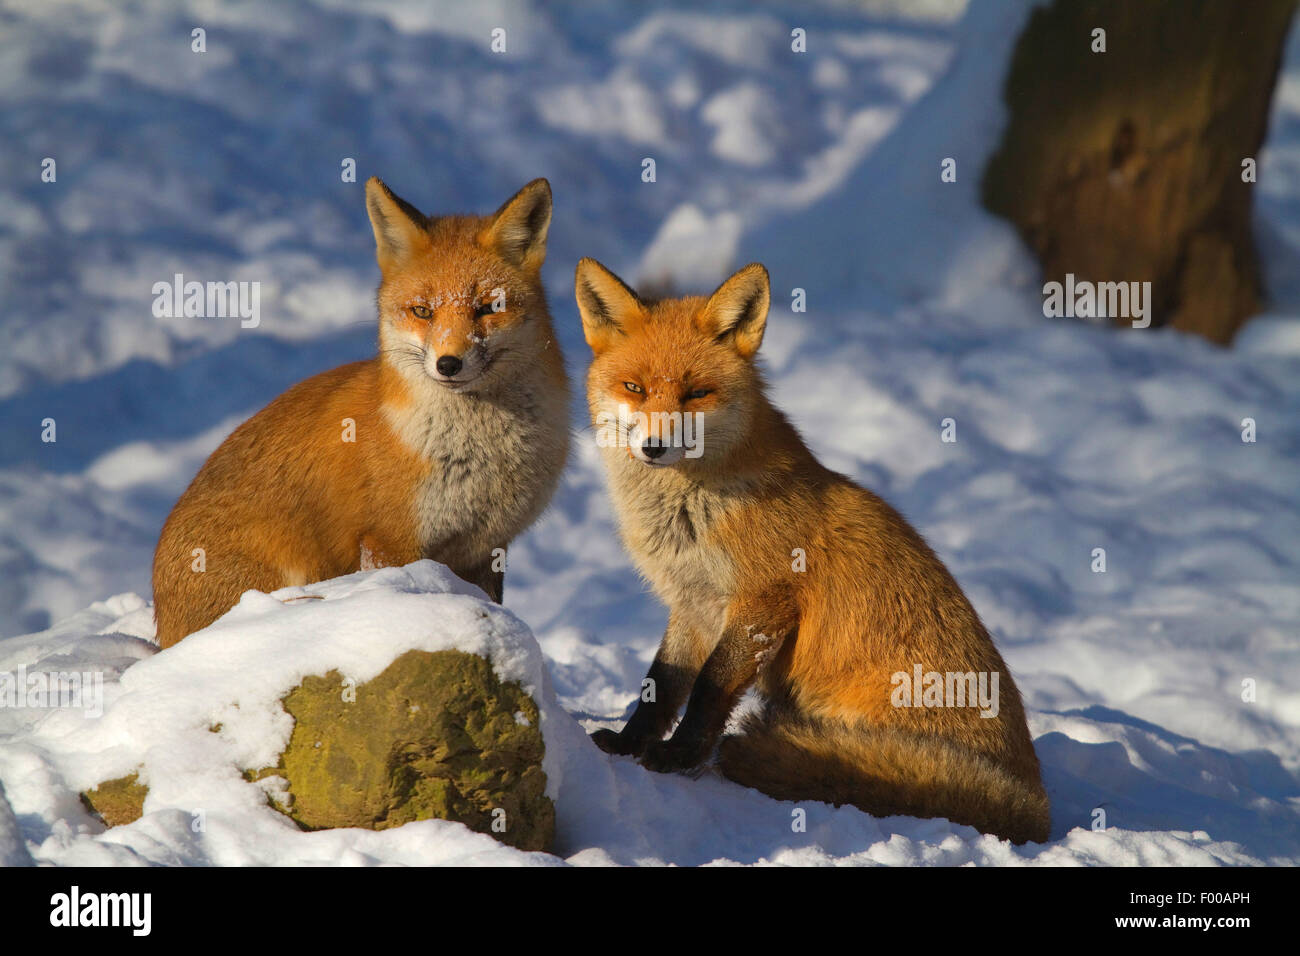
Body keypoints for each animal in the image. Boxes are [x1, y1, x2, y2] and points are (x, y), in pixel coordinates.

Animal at [152, 178, 569, 650]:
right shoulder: (389, 540)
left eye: (488, 308)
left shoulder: (487, 548)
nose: (448, 364)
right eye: (422, 311)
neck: (478, 454)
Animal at [574, 257, 1050, 842]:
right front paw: (627, 744)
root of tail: (1035, 807)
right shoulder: (694, 604)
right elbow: (660, 683)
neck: (694, 512)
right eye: (635, 387)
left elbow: (709, 687)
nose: (655, 447)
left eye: (696, 393)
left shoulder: (763, 601)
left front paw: (680, 757)